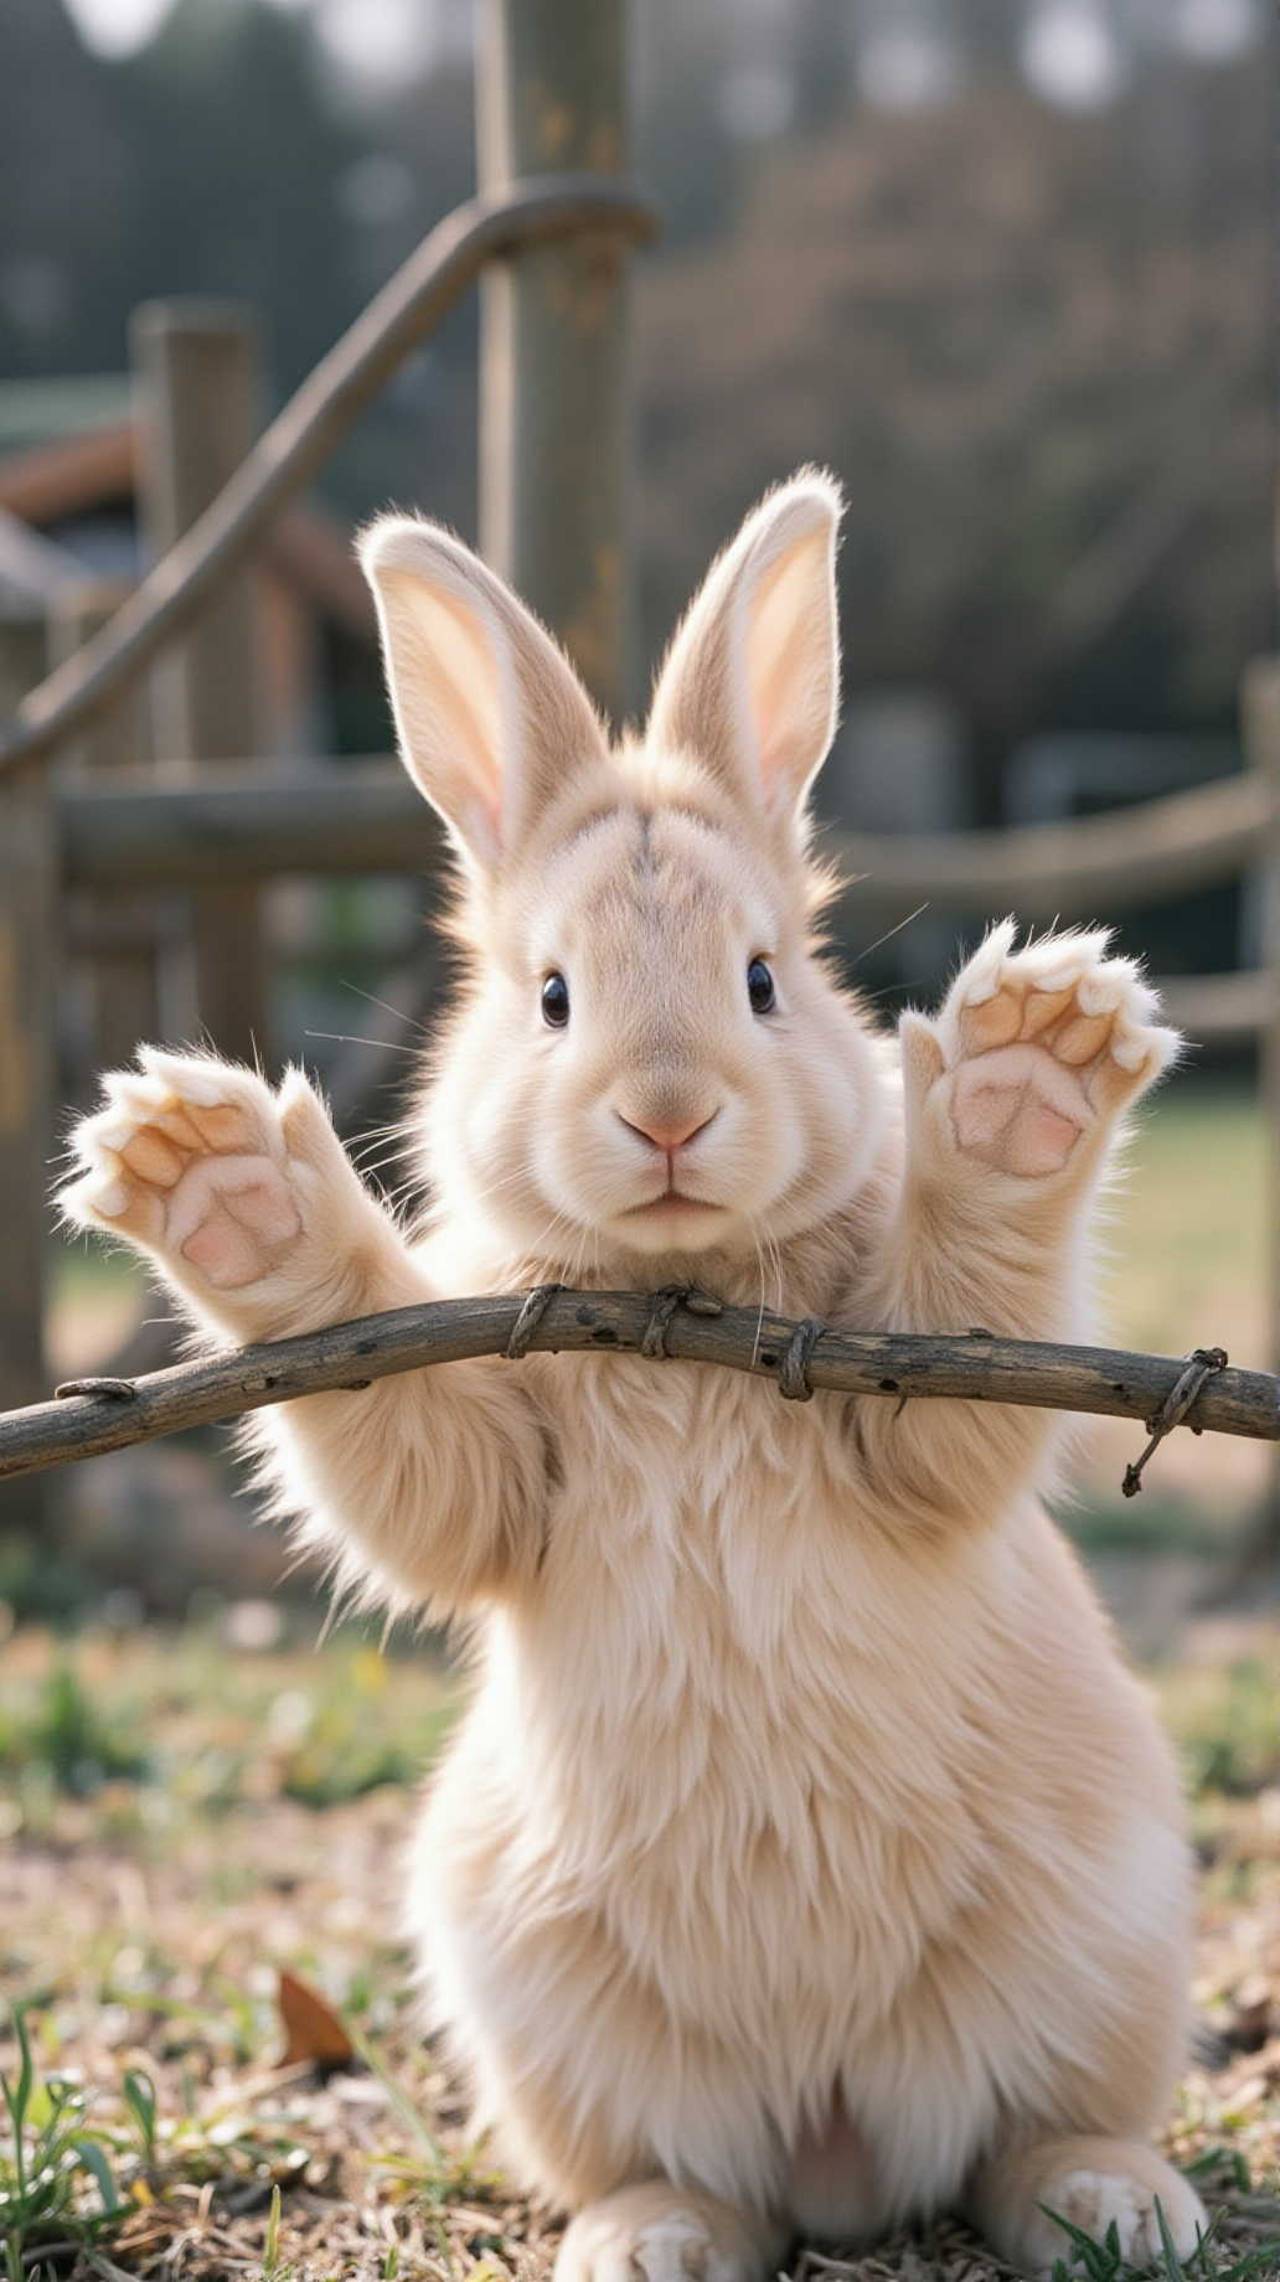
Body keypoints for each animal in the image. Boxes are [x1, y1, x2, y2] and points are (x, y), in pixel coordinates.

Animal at [61, 470, 1205, 2280]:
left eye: (764, 978)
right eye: (548, 996)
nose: (667, 1112)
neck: (683, 1306)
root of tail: (835, 2143)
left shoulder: (917, 1407)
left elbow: (964, 1330)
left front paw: (1035, 1061)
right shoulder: (483, 1450)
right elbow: (408, 1454)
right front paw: (206, 1169)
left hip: (1101, 1945)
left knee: (1029, 2133)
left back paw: (1121, 2206)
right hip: (548, 2010)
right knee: (687, 2169)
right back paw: (648, 2237)